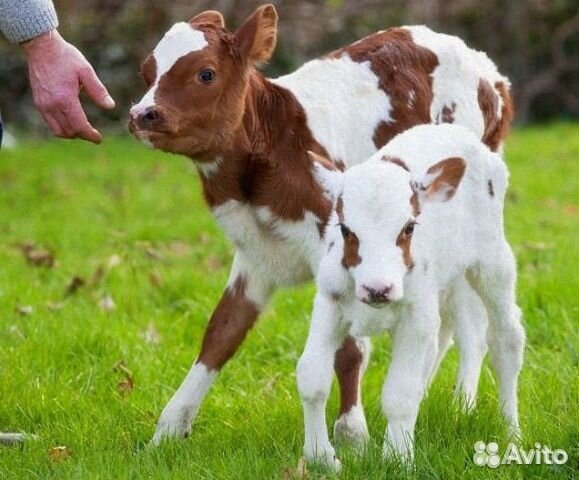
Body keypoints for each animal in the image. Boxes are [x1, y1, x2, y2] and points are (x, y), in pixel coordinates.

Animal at [300, 124, 524, 468]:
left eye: (408, 228)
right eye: (345, 230)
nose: (378, 289)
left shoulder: (416, 317)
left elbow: (401, 393)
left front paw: (397, 458)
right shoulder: (329, 302)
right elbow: (311, 378)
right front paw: (321, 458)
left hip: (492, 261)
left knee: (505, 339)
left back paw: (511, 432)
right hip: (453, 277)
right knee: (471, 334)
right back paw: (462, 408)